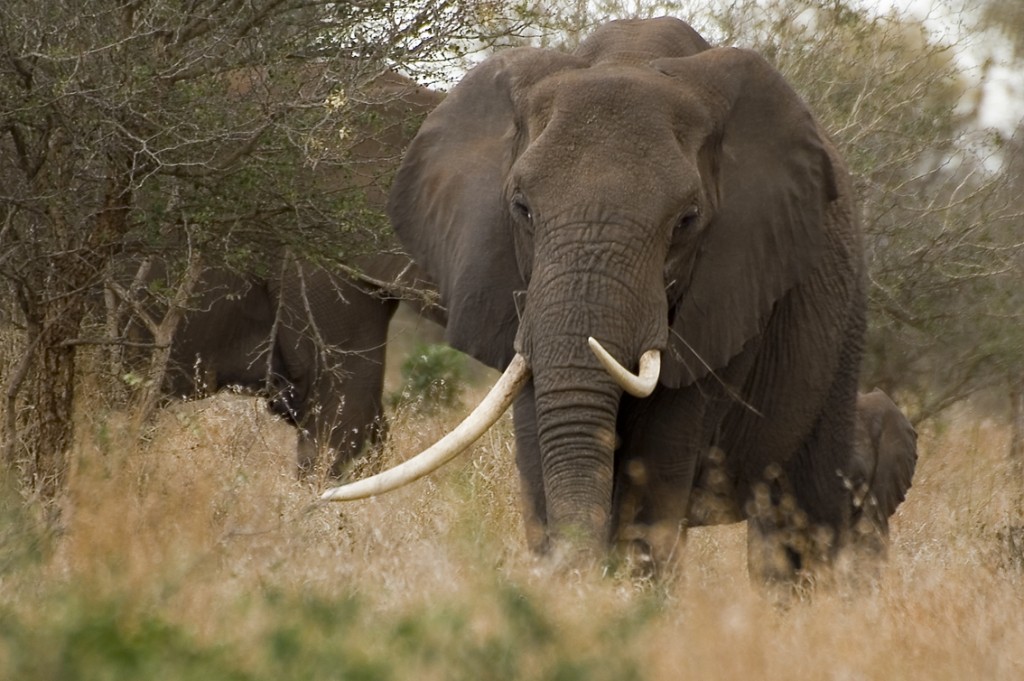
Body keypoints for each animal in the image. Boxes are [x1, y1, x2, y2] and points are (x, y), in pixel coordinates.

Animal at [323, 15, 868, 577]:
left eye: (686, 221)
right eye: (521, 208)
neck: (632, 55)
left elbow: (656, 465)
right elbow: (540, 446)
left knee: (805, 517)